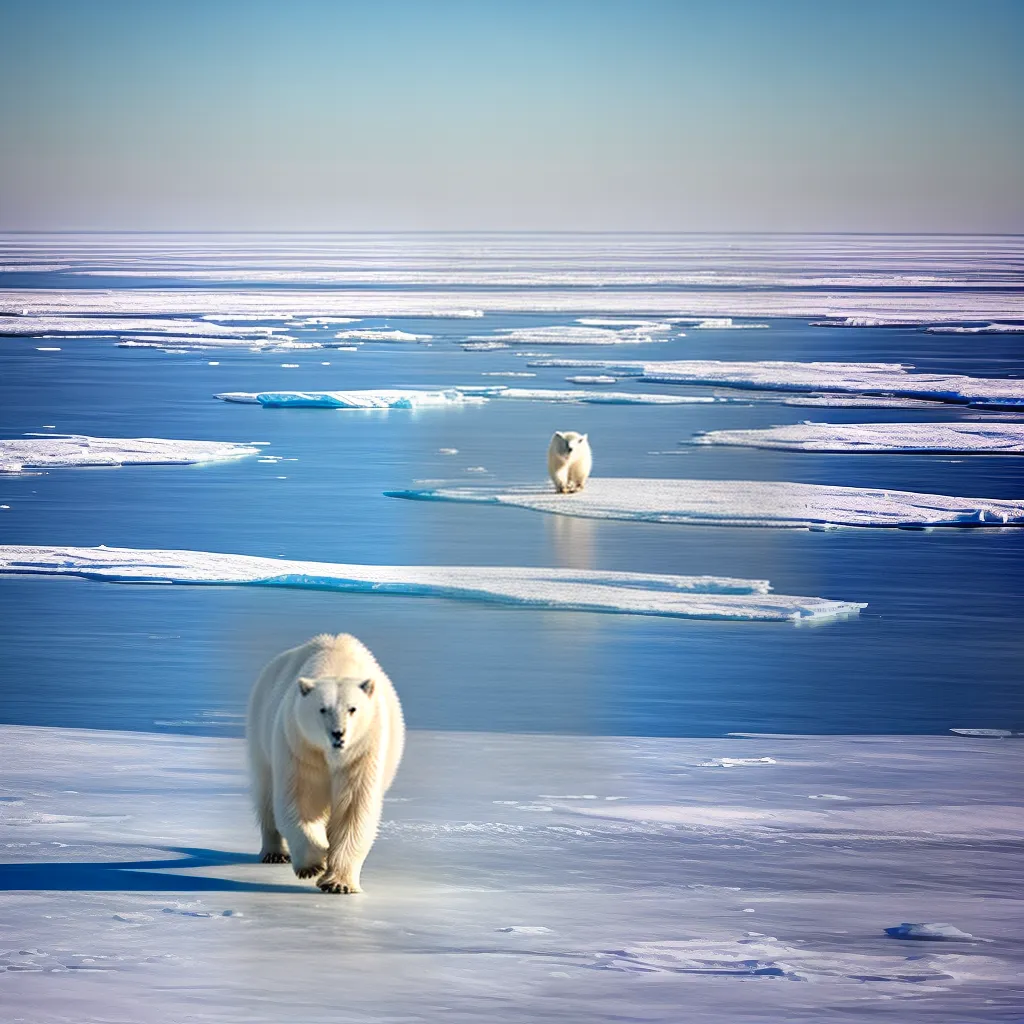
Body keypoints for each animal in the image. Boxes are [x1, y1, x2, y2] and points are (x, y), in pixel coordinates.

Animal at [246, 633, 405, 894]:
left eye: (352, 709)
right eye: (322, 709)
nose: (338, 734)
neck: (337, 663)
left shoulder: (362, 752)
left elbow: (354, 809)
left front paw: (338, 883)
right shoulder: (301, 746)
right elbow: (301, 799)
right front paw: (312, 864)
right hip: (260, 733)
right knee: (266, 793)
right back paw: (275, 852)